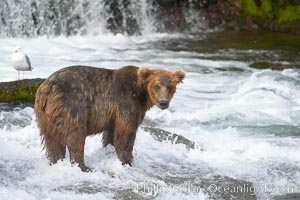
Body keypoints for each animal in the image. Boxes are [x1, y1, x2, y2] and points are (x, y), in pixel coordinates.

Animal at [34, 65, 185, 171]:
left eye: (170, 87)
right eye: (157, 86)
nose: (163, 102)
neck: (141, 93)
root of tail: (46, 88)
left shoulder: (113, 116)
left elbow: (111, 134)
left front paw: (110, 152)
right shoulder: (126, 103)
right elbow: (125, 133)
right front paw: (127, 161)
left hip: (44, 115)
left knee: (52, 140)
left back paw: (56, 160)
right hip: (72, 105)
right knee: (75, 134)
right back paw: (83, 166)